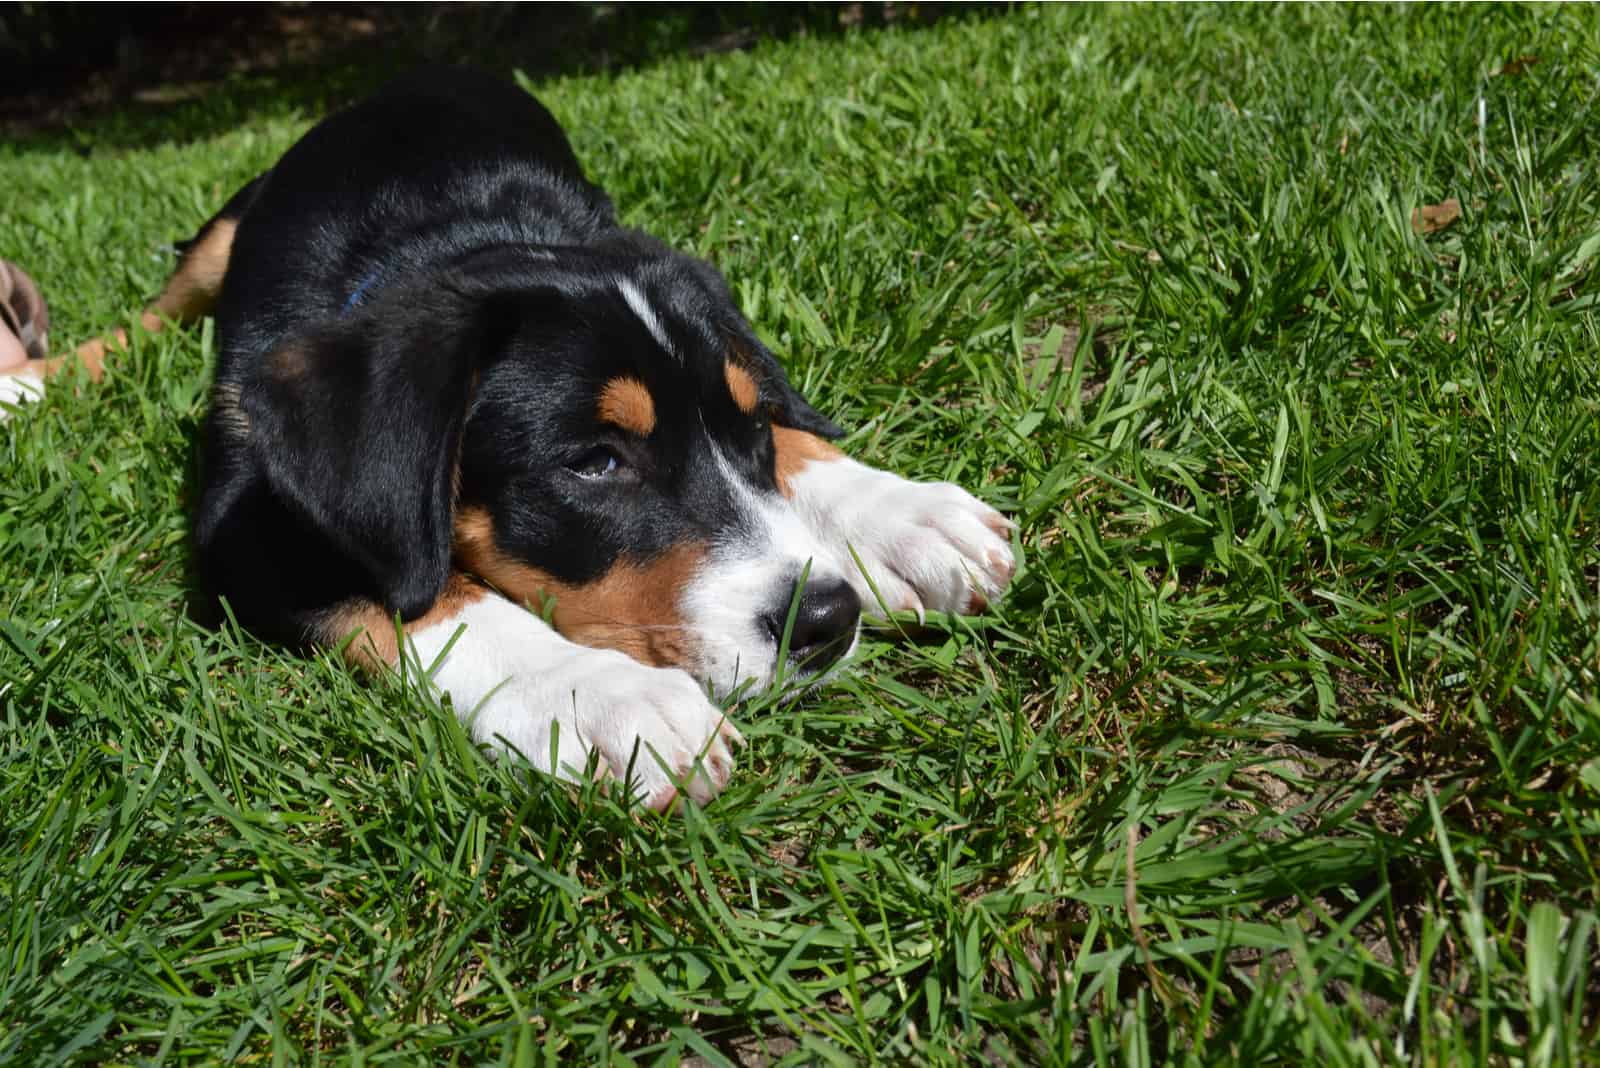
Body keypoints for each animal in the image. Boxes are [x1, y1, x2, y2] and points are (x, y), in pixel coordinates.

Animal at [0, 68, 1017, 808]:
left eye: (750, 428)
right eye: (595, 463)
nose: (825, 620)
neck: (439, 238)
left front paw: (898, 516)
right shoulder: (241, 525)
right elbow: (430, 601)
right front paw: (603, 698)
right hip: (232, 221)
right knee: (146, 317)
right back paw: (28, 382)